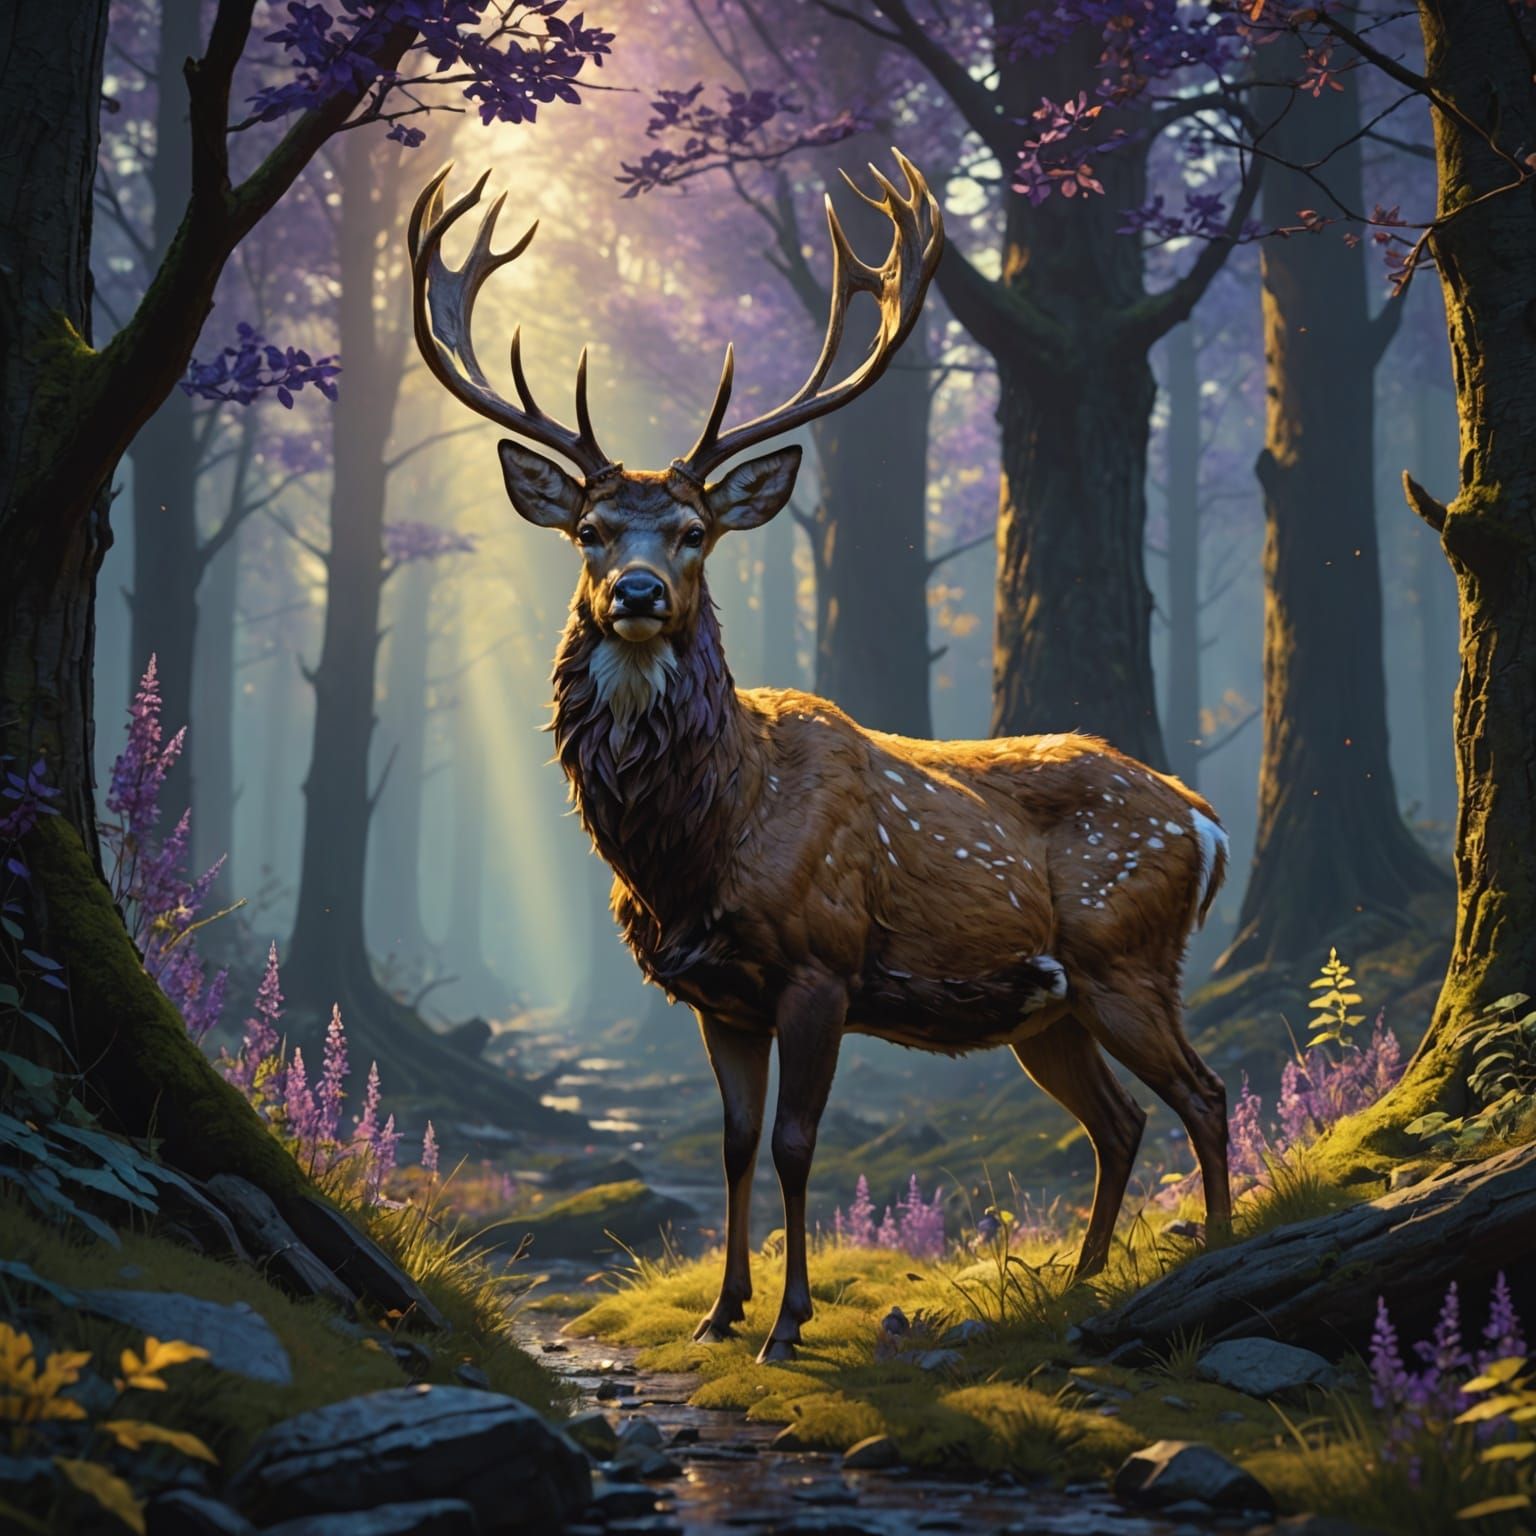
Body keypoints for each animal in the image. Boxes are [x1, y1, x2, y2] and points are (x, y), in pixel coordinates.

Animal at [408, 153, 1232, 1363]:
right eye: (590, 531)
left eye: (695, 532)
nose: (637, 595)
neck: (698, 843)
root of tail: (1207, 822)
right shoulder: (713, 993)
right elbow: (735, 1142)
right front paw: (720, 1310)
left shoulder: (821, 963)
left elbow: (799, 1142)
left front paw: (788, 1324)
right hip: (1051, 1007)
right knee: (1122, 1121)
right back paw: (1081, 1282)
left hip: (1125, 954)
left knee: (1204, 1096)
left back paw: (1212, 1255)